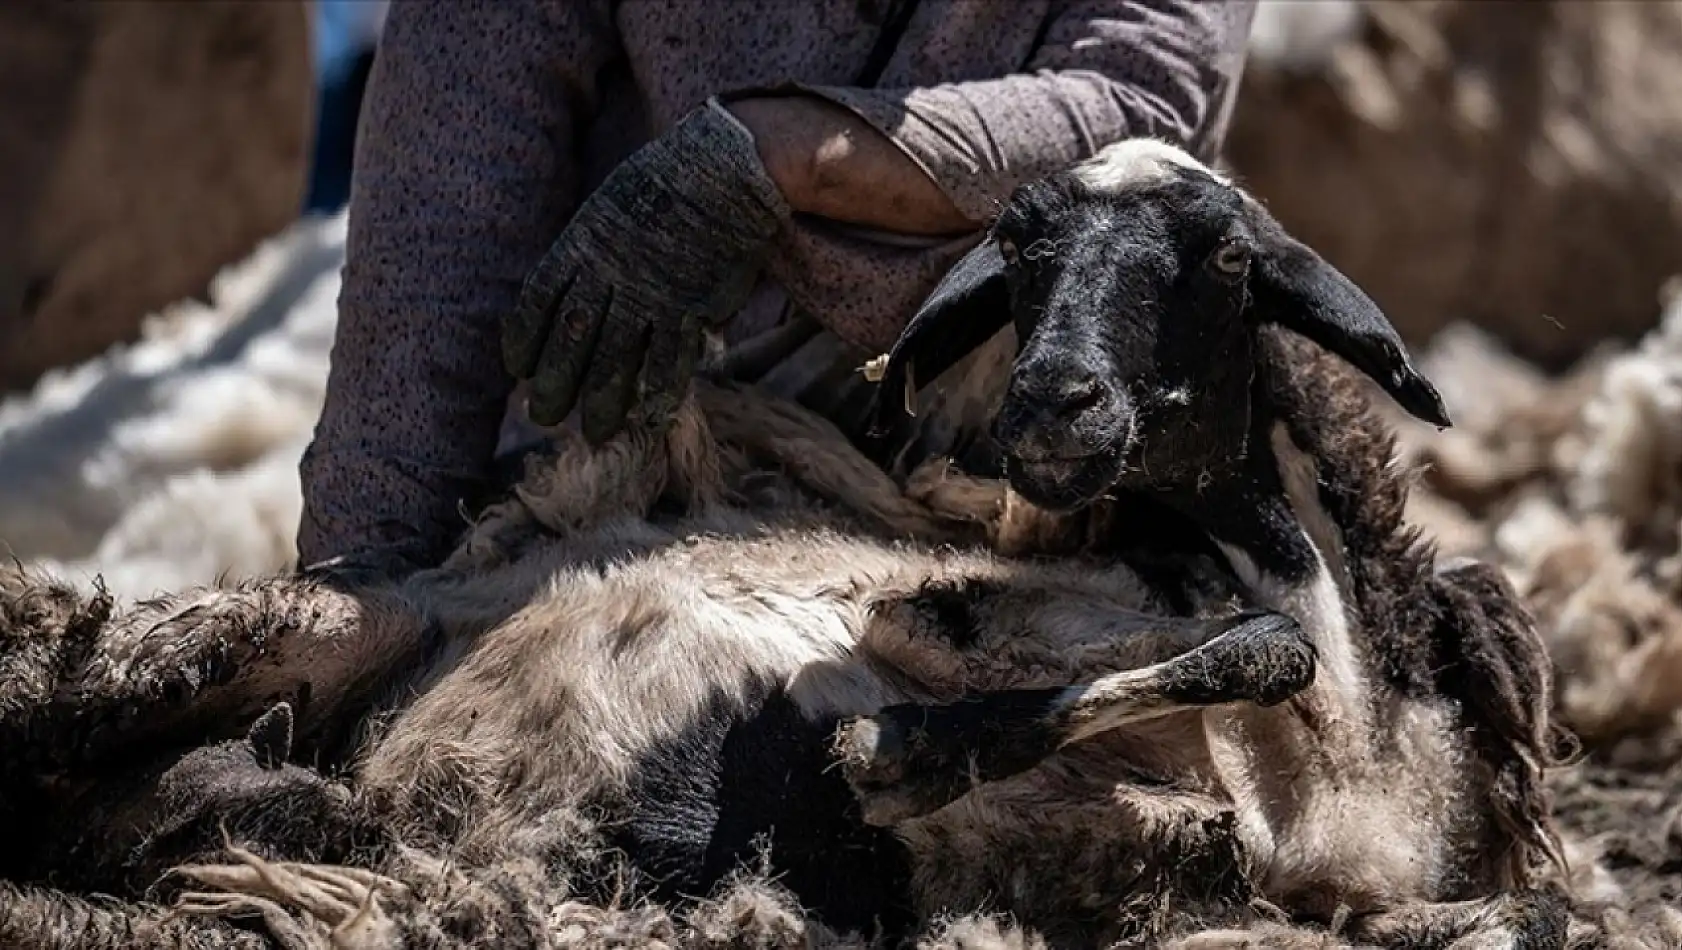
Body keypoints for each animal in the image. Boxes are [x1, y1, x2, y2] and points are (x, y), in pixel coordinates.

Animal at [0, 137, 1567, 941]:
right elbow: (1237, 641)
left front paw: (910, 744)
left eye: (1228, 260)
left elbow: (1252, 652)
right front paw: (910, 728)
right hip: (302, 621)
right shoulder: (1010, 613)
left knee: (161, 800)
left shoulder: (1166, 851)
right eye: (1021, 252)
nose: (1054, 400)